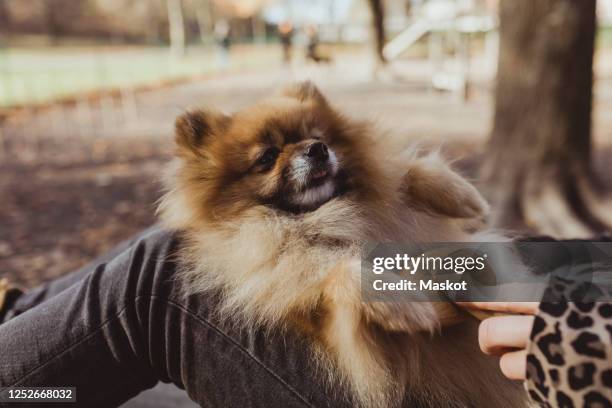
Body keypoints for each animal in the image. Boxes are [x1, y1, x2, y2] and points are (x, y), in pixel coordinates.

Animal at [160, 82, 528, 408]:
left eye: (317, 137)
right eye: (267, 156)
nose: (316, 149)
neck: (319, 215)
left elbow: (402, 174)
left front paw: (465, 197)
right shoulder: (317, 310)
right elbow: (340, 271)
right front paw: (402, 303)